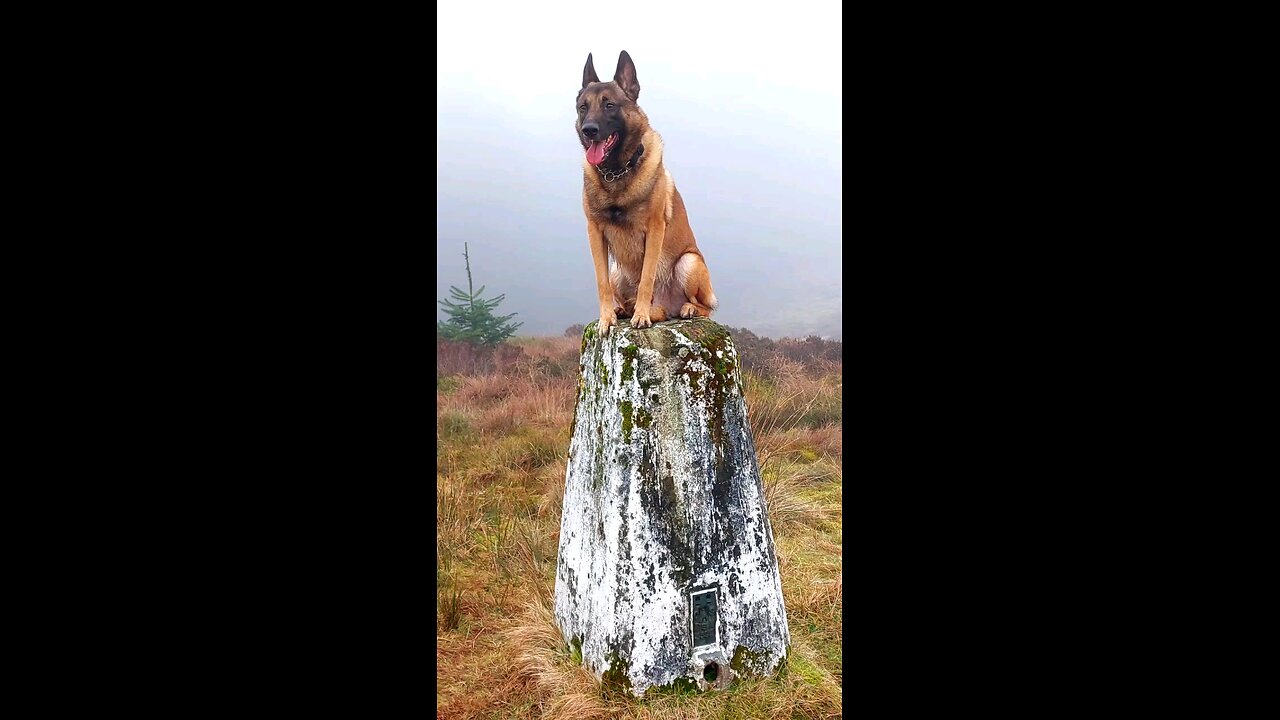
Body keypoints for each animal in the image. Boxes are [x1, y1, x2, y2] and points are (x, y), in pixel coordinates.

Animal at [576, 49, 716, 335]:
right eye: (584, 107)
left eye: (610, 105)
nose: (589, 130)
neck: (617, 172)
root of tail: (669, 306)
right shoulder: (594, 232)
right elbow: (601, 283)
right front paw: (606, 318)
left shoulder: (654, 229)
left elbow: (647, 278)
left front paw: (641, 315)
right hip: (617, 271)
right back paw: (625, 309)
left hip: (688, 262)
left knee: (705, 308)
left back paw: (683, 309)